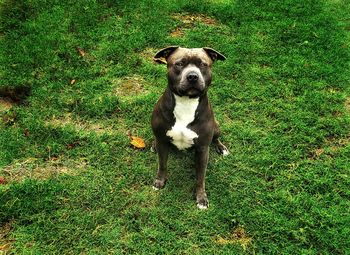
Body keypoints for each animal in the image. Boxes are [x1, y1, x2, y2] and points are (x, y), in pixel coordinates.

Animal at [151, 46, 228, 209]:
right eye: (179, 64)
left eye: (203, 64)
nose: (192, 76)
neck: (186, 101)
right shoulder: (163, 143)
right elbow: (162, 165)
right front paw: (160, 181)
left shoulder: (202, 149)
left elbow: (200, 177)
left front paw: (201, 198)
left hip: (216, 126)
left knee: (216, 138)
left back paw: (221, 148)